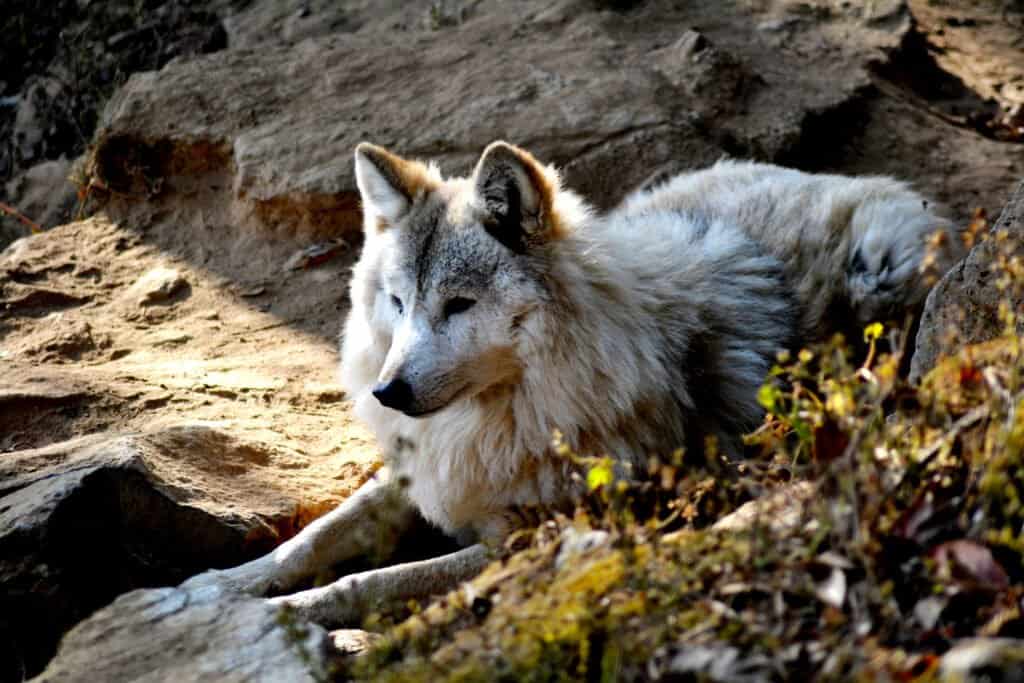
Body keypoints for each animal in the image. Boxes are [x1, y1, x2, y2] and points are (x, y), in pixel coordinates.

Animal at [186, 145, 958, 630]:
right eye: (398, 303)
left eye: (459, 305)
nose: (388, 392)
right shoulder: (425, 471)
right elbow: (313, 539)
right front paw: (212, 590)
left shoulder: (527, 541)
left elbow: (366, 580)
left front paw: (277, 613)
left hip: (878, 272)